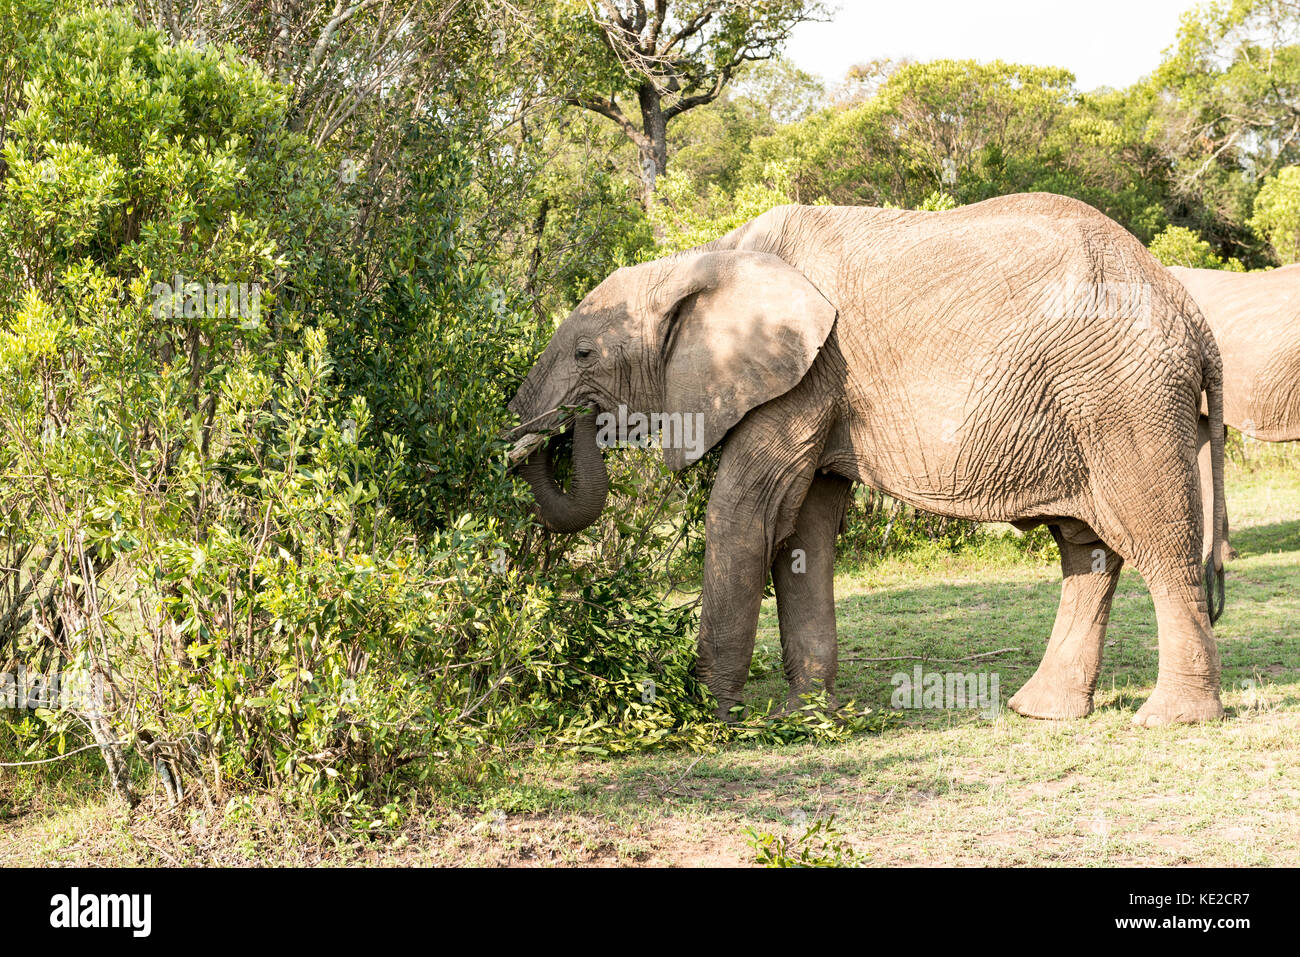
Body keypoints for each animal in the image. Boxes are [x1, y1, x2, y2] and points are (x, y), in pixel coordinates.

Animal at [506, 191, 1227, 722]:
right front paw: (805, 718)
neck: (701, 260)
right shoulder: (818, 382)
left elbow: (744, 515)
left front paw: (705, 715)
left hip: (1126, 396)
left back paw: (1172, 719)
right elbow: (803, 531)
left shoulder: (807, 373)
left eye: (584, 353)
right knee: (1087, 548)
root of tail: (1195, 318)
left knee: (1159, 542)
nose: (563, 430)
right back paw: (1042, 712)